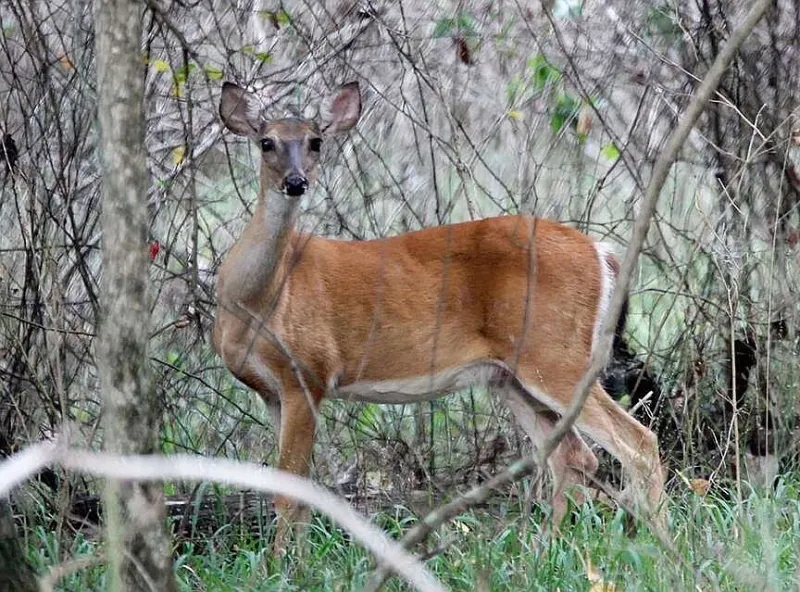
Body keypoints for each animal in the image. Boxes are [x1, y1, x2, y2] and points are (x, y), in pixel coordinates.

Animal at [213, 80, 665, 553]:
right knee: (572, 454)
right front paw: (295, 560)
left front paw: (285, 563)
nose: (296, 182)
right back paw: (550, 546)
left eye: (316, 141)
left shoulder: (308, 373)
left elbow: (290, 493)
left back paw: (660, 545)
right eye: (267, 142)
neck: (257, 300)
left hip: (555, 353)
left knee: (636, 441)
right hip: (510, 377)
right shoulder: (273, 392)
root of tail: (602, 252)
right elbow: (296, 490)